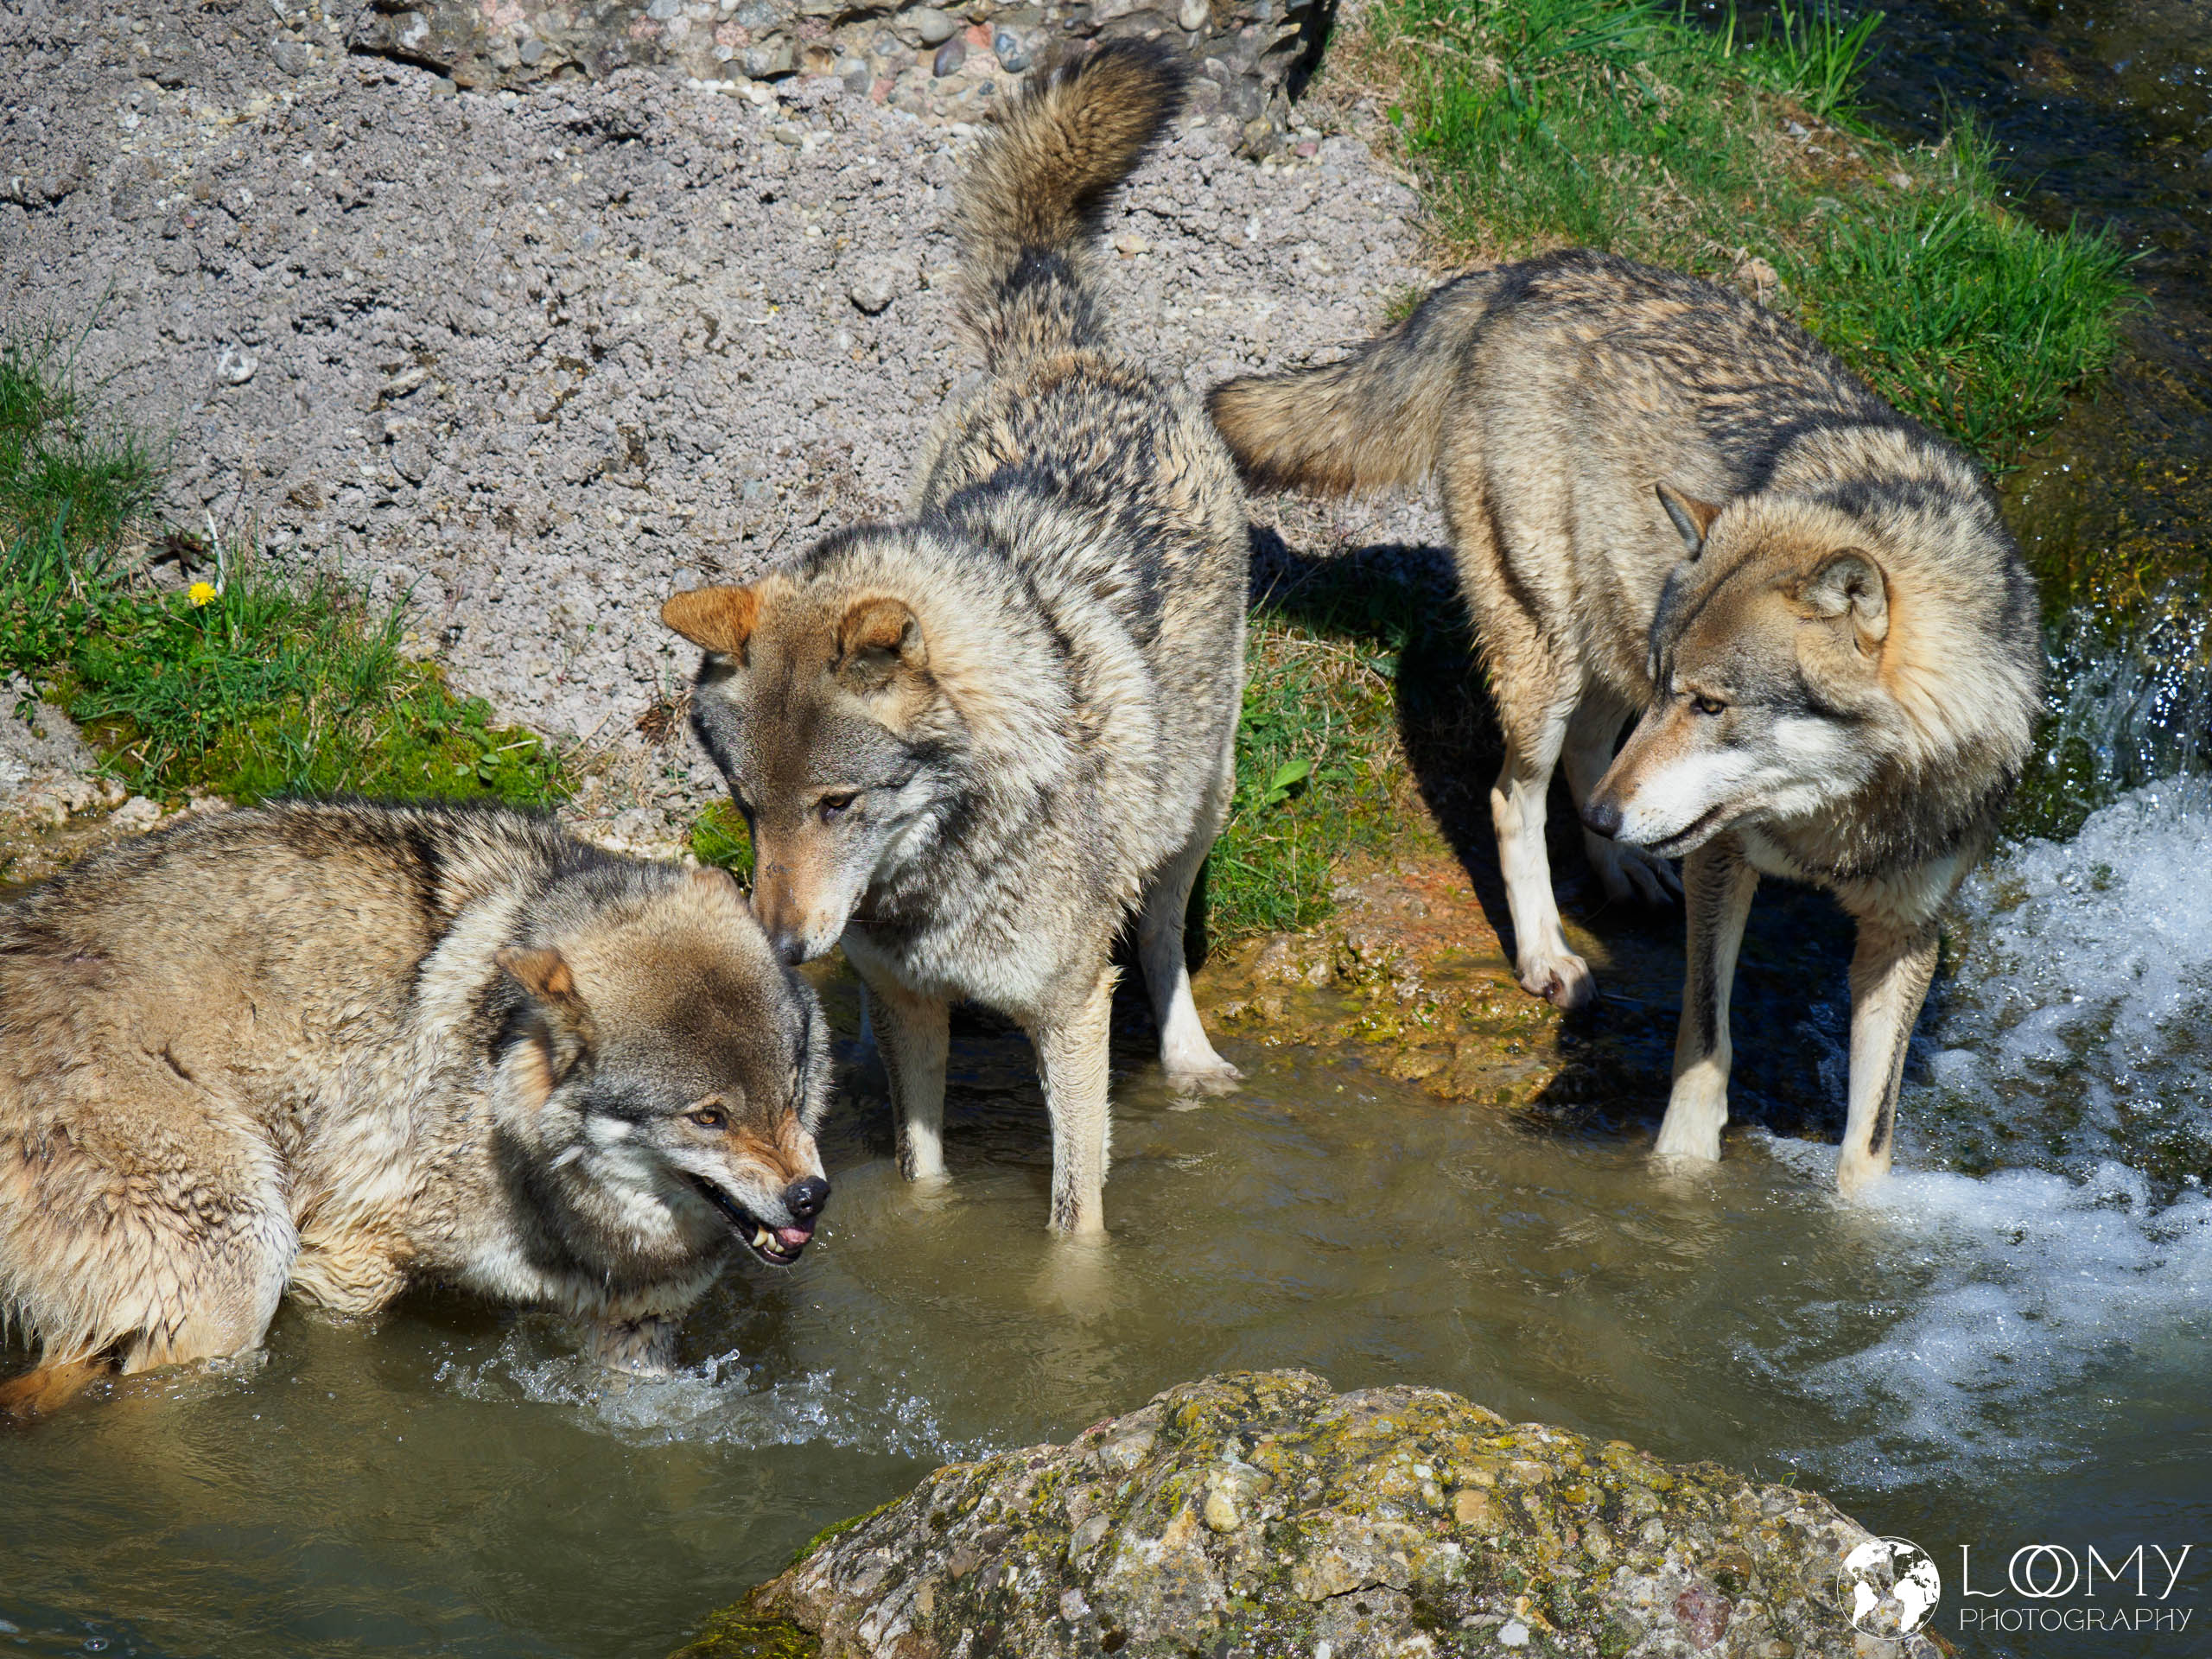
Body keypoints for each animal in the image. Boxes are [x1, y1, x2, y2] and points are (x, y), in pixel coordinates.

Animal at [0, 799, 831, 1418]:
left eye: (792, 1088)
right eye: (709, 1117)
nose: (810, 1197)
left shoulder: (634, 1337)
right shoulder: (346, 1264)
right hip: (242, 1261)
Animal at [660, 42, 1246, 1236]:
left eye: (838, 805)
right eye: (749, 809)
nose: (780, 948)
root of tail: (1071, 353)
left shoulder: (1069, 1014)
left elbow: (1075, 1221)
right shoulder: (908, 1002)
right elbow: (920, 1178)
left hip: (1192, 815)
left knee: (1164, 939)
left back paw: (1193, 1063)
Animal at [1207, 250, 2041, 1193]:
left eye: (1710, 704)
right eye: (1680, 691)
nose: (1610, 818)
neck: (1838, 820)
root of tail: (1526, 270)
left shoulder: (1903, 937)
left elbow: (1868, 1143)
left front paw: (1855, 1220)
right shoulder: (1721, 860)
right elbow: (1705, 1044)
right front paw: (1679, 1185)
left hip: (1606, 650)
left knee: (1585, 757)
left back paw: (1622, 869)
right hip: (1550, 652)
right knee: (1514, 794)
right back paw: (1548, 949)